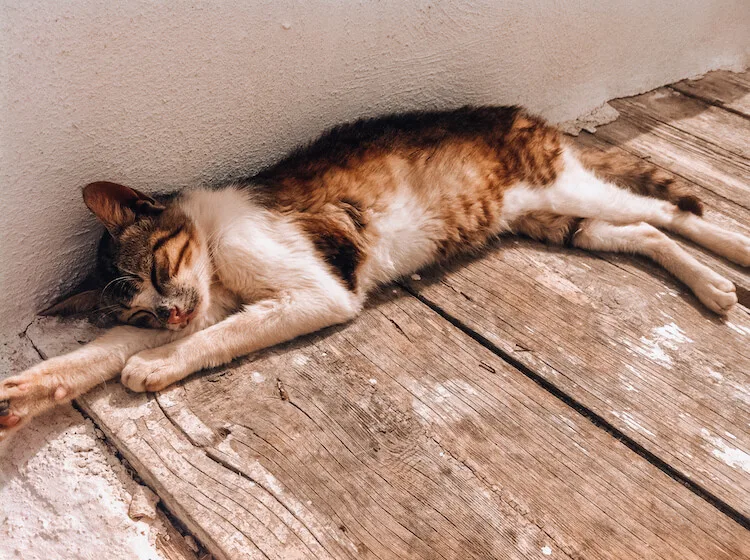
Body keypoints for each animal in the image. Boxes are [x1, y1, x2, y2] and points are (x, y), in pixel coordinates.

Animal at [0, 104, 748, 438]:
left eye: (159, 264)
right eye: (138, 308)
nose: (171, 314)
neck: (215, 262)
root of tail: (522, 112)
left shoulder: (317, 291)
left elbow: (222, 335)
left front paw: (155, 366)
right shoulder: (206, 301)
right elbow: (92, 355)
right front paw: (19, 397)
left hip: (564, 185)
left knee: (669, 211)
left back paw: (732, 259)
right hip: (547, 216)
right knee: (645, 230)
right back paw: (712, 286)